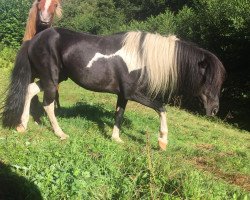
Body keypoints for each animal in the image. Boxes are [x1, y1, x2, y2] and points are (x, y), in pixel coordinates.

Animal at [0, 28, 226, 150]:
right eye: (209, 80)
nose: (214, 110)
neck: (143, 57)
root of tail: (34, 39)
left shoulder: (123, 95)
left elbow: (119, 114)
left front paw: (116, 138)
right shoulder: (134, 93)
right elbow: (162, 108)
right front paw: (162, 140)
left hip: (54, 77)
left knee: (30, 90)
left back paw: (22, 125)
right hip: (51, 78)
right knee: (48, 104)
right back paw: (60, 133)